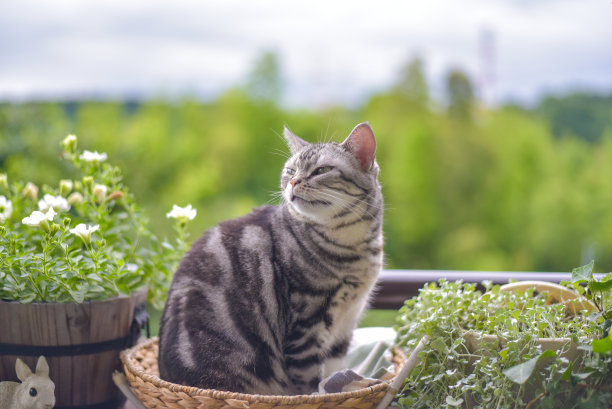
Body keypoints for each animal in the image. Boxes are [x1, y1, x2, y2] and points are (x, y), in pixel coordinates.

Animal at [158, 122, 382, 396]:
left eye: (322, 170)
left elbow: (334, 372)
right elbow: (309, 383)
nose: (293, 181)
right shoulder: (306, 324)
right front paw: (316, 395)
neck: (353, 247)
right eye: (290, 170)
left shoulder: (344, 327)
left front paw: (343, 386)